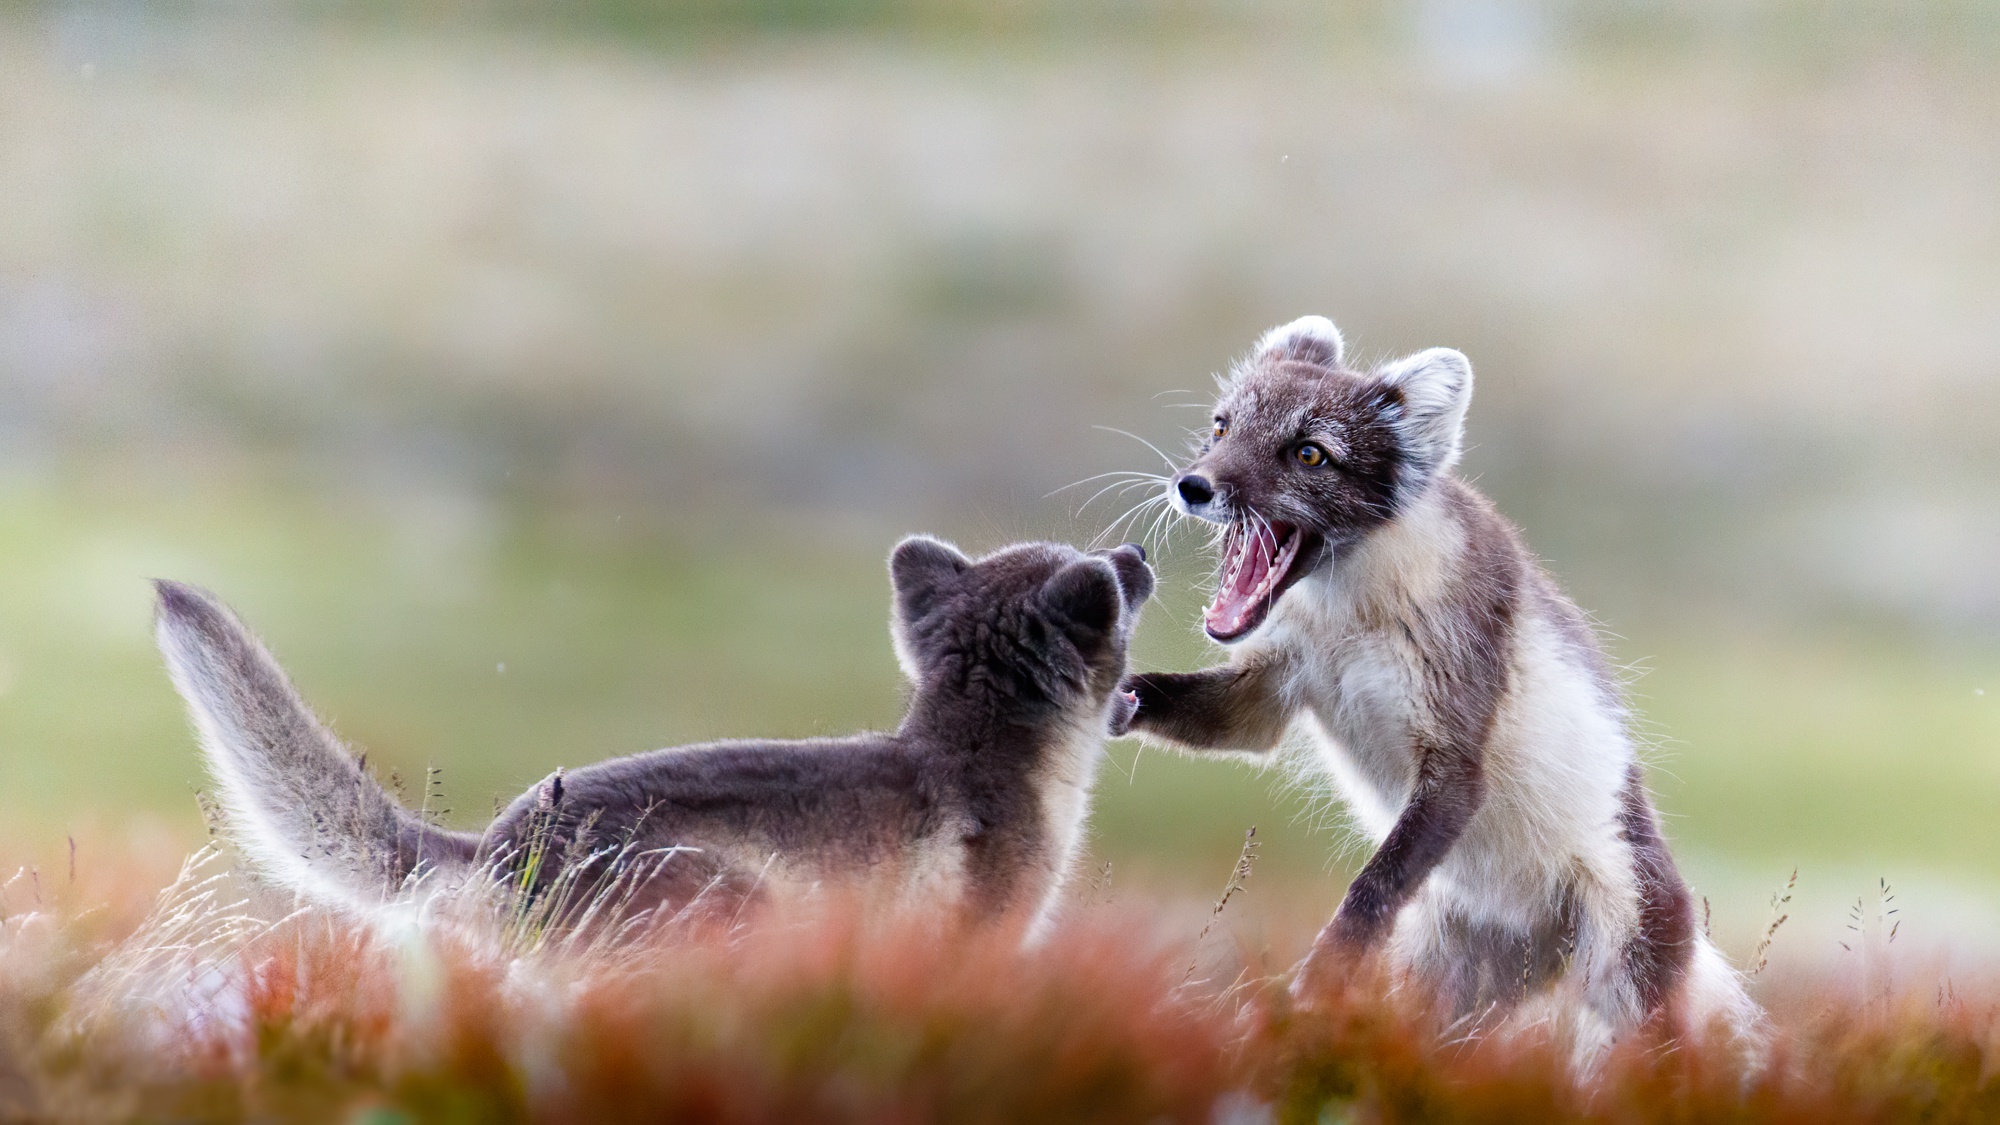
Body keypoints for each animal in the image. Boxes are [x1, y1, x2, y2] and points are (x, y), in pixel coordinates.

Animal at [1128, 316, 1768, 1048]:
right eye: (1222, 425)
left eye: (1310, 454)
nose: (1192, 486)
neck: (1346, 615)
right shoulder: (1269, 689)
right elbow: (1182, 698)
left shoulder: (1456, 752)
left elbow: (1370, 889)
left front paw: (1317, 982)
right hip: (1450, 986)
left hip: (1629, 978)